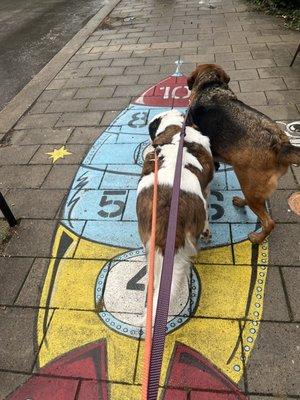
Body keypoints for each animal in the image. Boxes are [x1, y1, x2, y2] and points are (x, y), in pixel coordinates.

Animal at [188, 63, 300, 244]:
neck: (211, 85)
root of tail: (280, 145)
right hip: (251, 185)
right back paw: (241, 202)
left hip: (248, 182)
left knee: (269, 222)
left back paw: (257, 238)